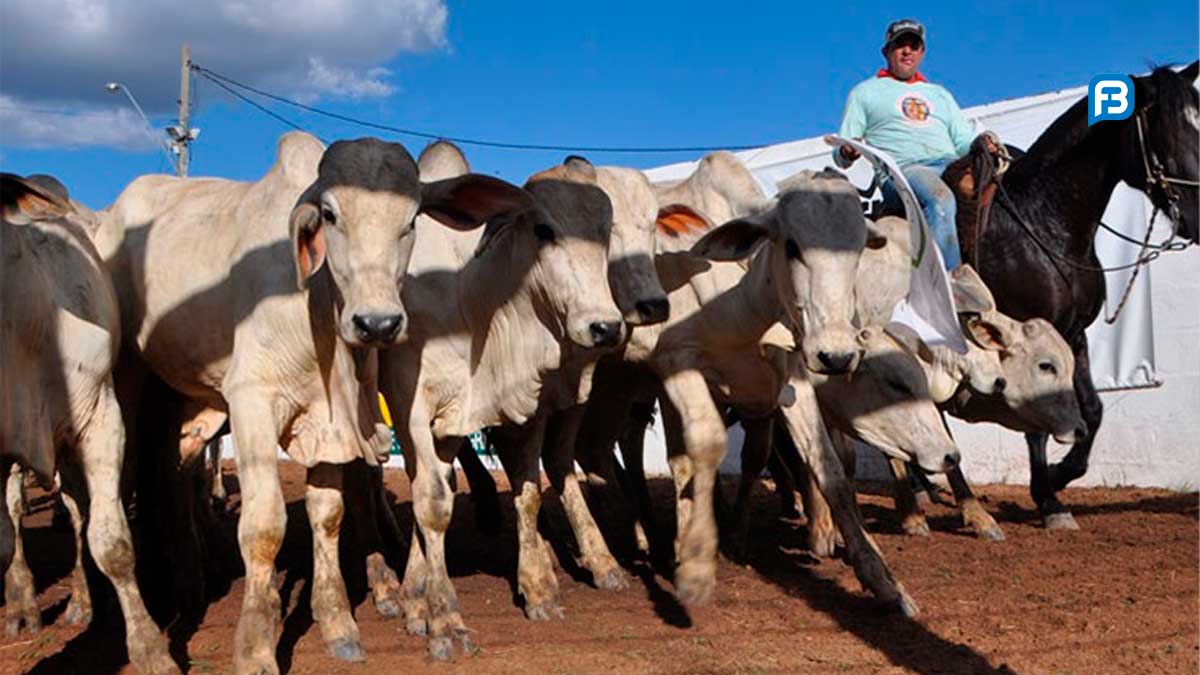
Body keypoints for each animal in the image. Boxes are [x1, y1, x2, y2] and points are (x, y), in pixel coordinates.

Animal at [950, 61, 1195, 526]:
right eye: (1170, 129)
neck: (1042, 222)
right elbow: (1037, 419)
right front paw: (1048, 499)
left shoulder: (1073, 333)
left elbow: (1092, 410)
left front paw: (1059, 477)